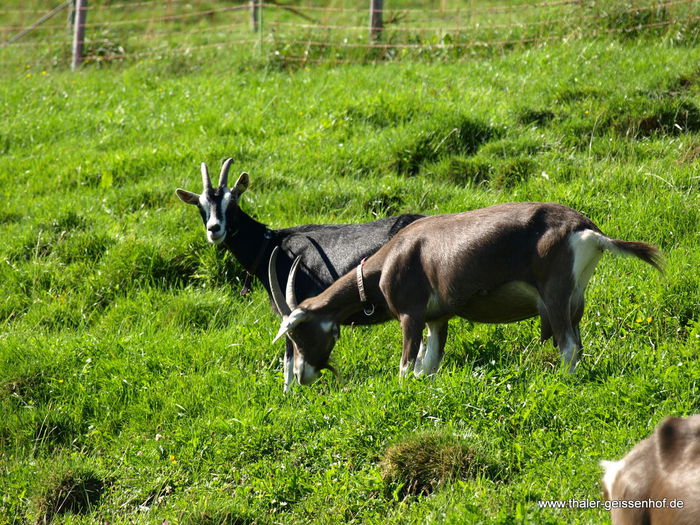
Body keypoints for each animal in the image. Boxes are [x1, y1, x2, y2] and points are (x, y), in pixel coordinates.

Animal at [178, 159, 424, 388]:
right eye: (200, 206)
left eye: (232, 201)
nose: (214, 229)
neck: (271, 247)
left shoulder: (291, 309)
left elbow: (288, 358)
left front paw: (288, 396)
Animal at [270, 201, 660, 384]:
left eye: (298, 332)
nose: (302, 376)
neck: (392, 256)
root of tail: (587, 229)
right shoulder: (437, 319)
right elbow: (427, 366)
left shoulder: (411, 316)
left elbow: (406, 367)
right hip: (574, 301)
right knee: (576, 344)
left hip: (555, 298)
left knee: (568, 348)